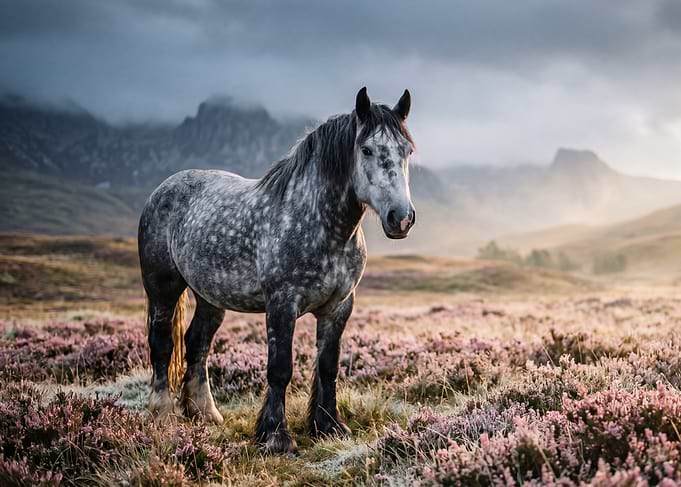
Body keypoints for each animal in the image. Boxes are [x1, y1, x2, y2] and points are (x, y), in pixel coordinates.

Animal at [138, 87, 416, 454]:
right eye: (367, 149)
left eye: (407, 151)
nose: (402, 218)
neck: (320, 224)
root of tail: (164, 189)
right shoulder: (282, 303)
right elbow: (280, 369)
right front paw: (275, 437)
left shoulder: (339, 306)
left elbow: (328, 366)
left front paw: (328, 426)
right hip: (162, 288)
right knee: (162, 343)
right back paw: (162, 414)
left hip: (209, 297)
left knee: (197, 344)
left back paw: (204, 413)